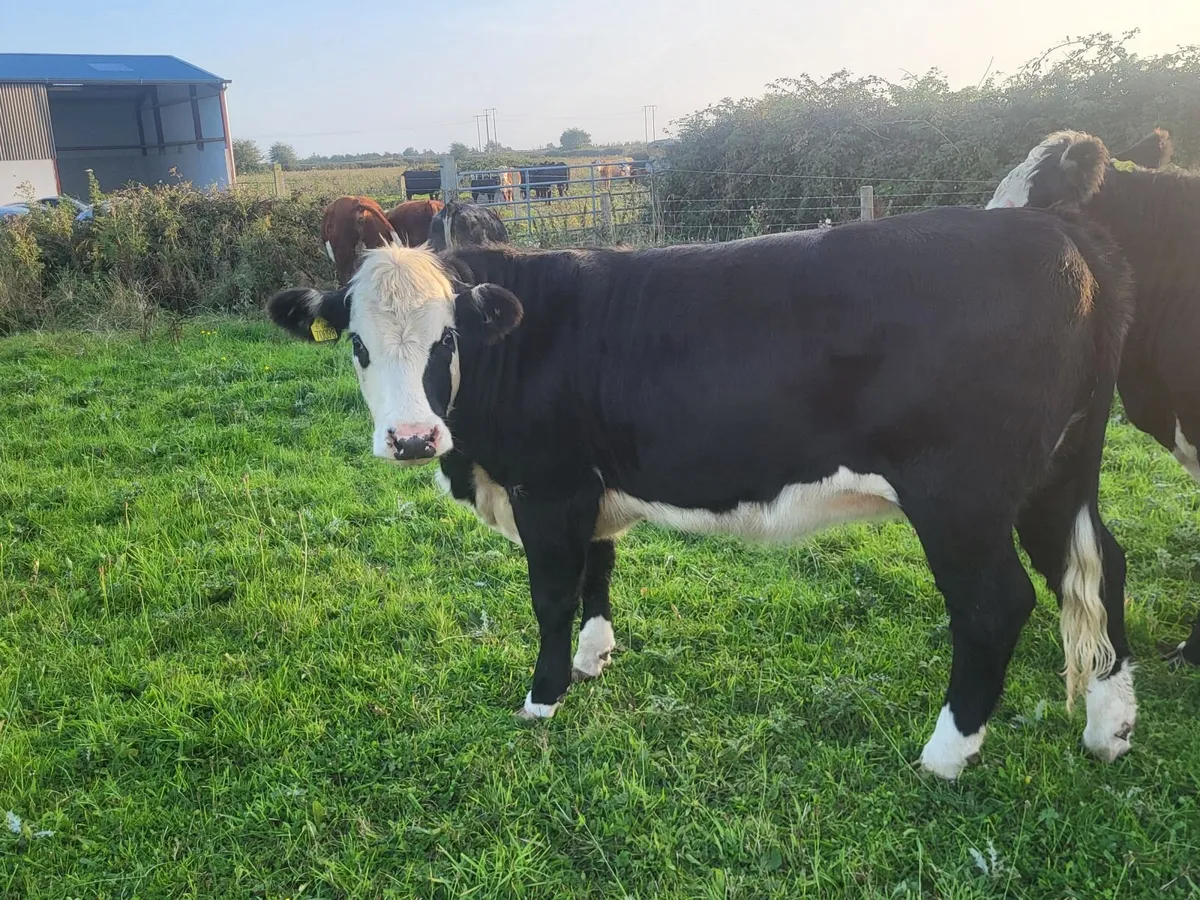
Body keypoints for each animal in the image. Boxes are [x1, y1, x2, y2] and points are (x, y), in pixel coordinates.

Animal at [267, 205, 1137, 781]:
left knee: (995, 605)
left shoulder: (548, 488)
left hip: (961, 497)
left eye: (445, 339)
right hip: (1056, 478)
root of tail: (1052, 231)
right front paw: (594, 656)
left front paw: (543, 697)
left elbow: (551, 595)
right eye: (357, 345)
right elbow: (599, 572)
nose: (413, 439)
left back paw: (945, 753)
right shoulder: (591, 491)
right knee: (1101, 569)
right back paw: (1111, 727)